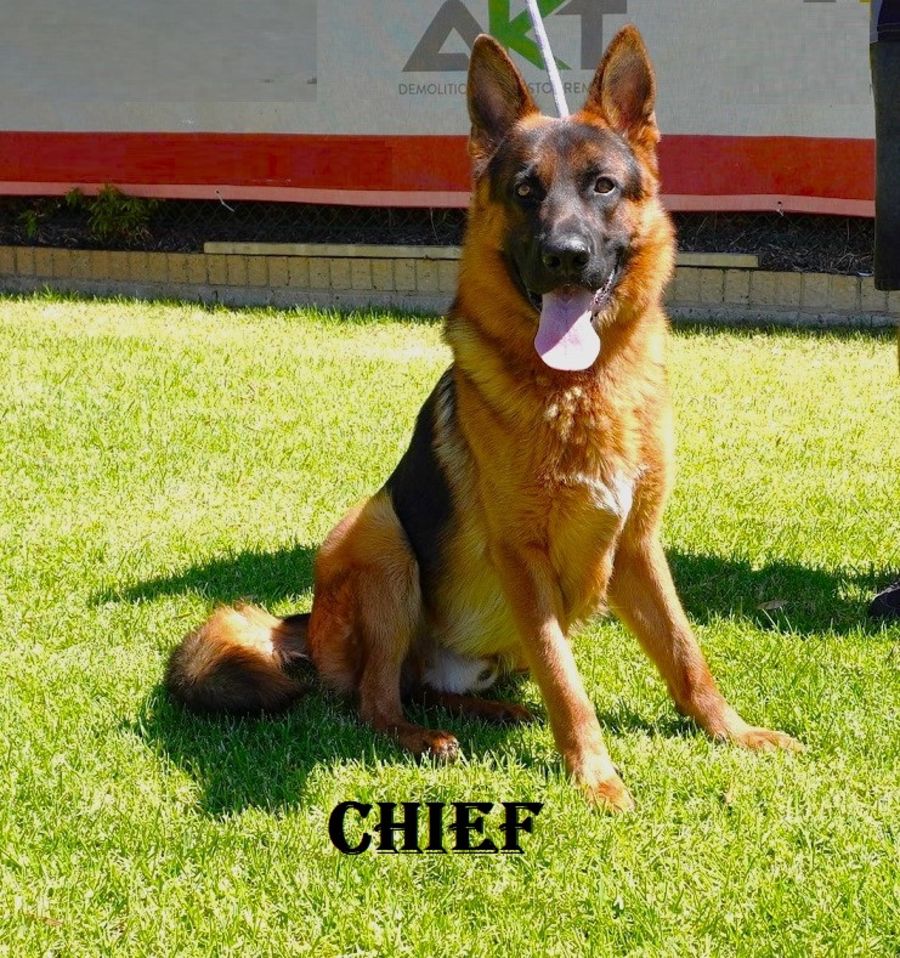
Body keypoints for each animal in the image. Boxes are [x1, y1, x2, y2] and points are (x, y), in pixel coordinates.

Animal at [165, 26, 801, 811]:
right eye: (526, 191)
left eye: (602, 186)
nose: (565, 256)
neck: (580, 389)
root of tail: (306, 626)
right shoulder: (521, 558)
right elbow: (567, 681)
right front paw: (596, 779)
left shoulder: (638, 547)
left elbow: (686, 655)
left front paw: (731, 733)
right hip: (380, 537)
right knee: (376, 701)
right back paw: (426, 739)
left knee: (428, 688)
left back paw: (494, 712)